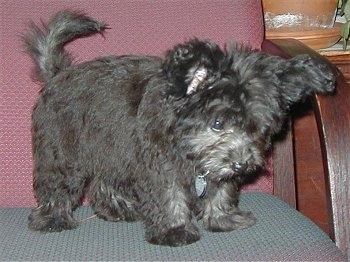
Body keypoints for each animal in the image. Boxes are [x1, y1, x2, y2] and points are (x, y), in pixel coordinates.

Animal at [23, 11, 334, 247]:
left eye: (258, 128)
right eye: (217, 123)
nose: (242, 164)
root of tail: (58, 74)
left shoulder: (211, 168)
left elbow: (220, 189)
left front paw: (222, 219)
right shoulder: (159, 165)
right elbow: (169, 196)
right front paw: (174, 230)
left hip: (112, 149)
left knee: (103, 182)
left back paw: (118, 209)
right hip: (63, 152)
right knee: (57, 185)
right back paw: (53, 219)